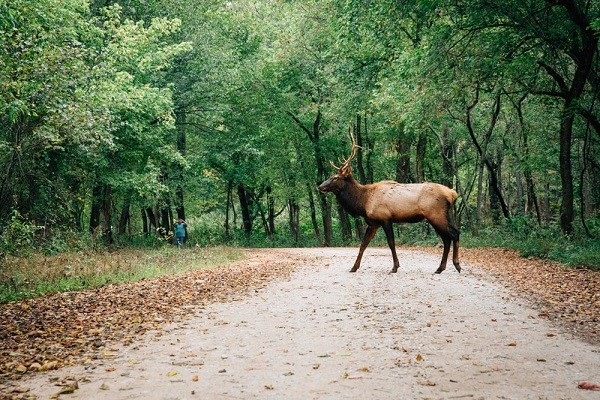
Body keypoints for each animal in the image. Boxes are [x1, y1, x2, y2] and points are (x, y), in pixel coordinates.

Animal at [316, 136, 462, 274]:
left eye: (335, 177)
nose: (320, 186)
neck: (363, 202)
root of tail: (452, 194)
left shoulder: (385, 218)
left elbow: (391, 243)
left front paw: (395, 267)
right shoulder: (373, 223)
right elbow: (363, 244)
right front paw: (354, 267)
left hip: (435, 214)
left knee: (454, 234)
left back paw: (456, 265)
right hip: (441, 215)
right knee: (447, 237)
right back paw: (440, 268)